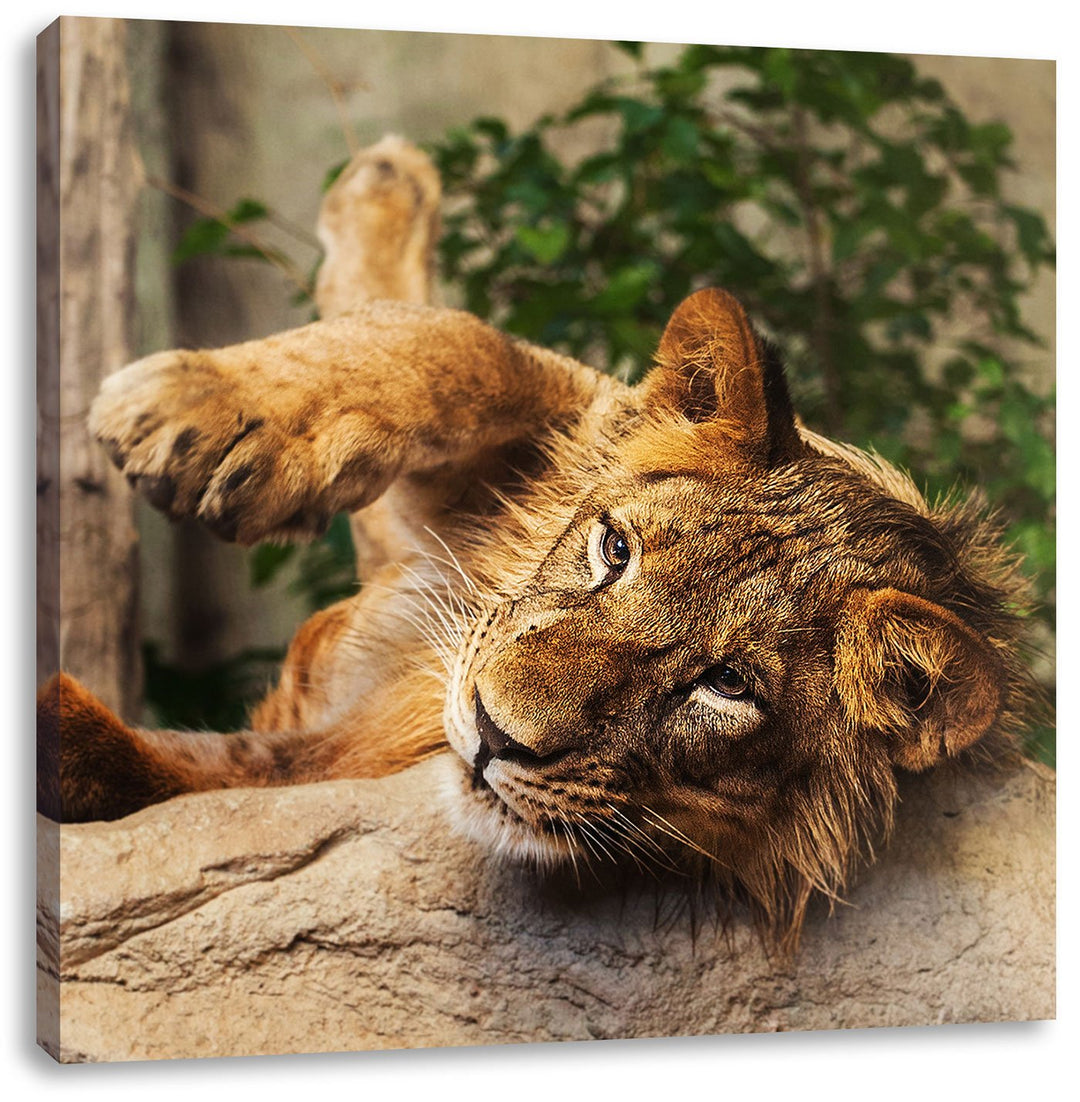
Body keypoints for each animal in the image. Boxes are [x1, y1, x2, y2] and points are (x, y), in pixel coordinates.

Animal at [39, 136, 1034, 950]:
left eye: (729, 686)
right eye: (614, 550)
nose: (489, 733)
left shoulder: (304, 768)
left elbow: (129, 764)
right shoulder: (538, 438)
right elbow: (463, 345)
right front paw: (193, 416)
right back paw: (386, 180)